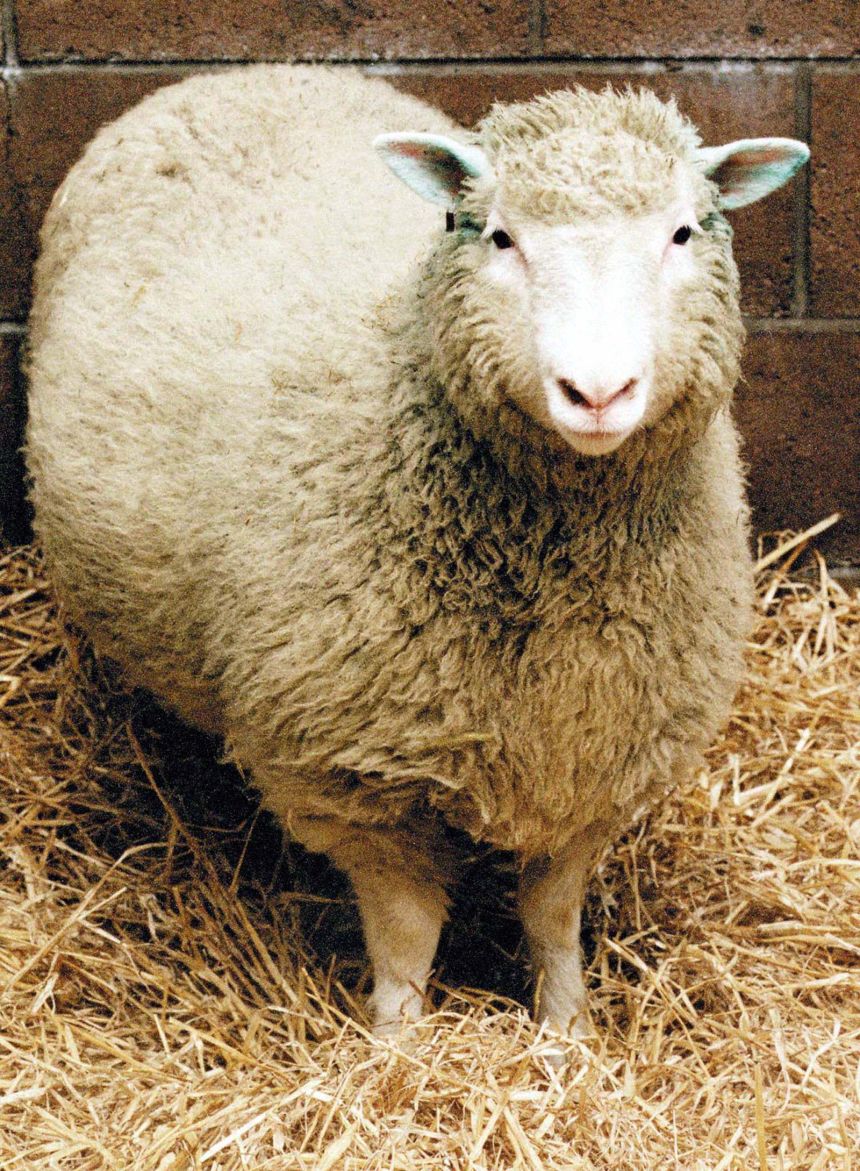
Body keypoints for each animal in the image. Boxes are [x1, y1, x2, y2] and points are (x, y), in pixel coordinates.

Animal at [25, 65, 809, 1042]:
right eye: (499, 235)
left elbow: (552, 914)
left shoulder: (599, 754)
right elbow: (407, 934)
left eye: (681, 232)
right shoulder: (359, 776)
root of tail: (242, 72)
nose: (596, 391)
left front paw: (567, 1036)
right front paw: (398, 1046)